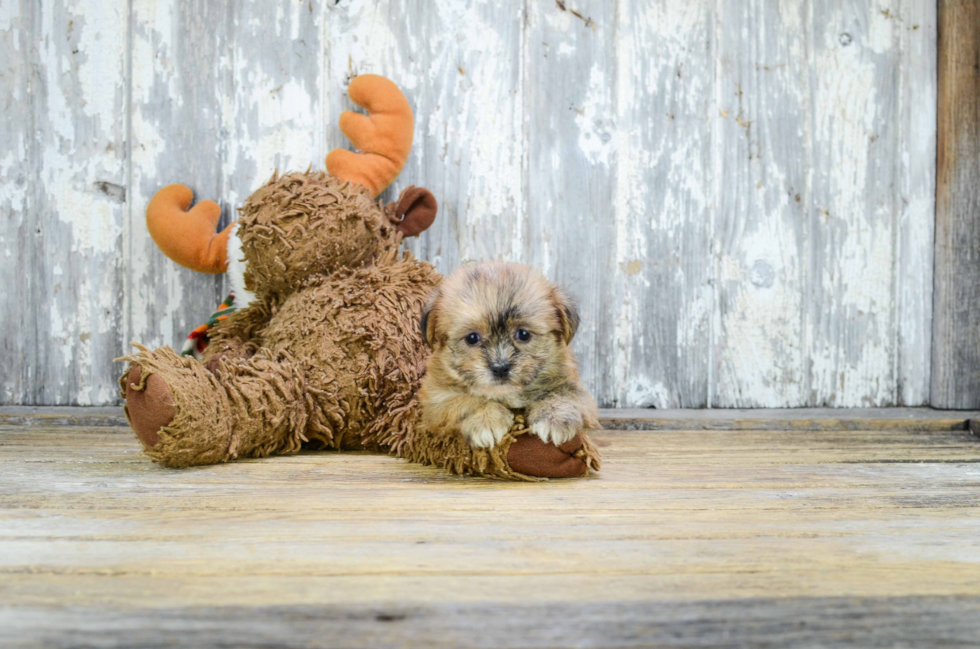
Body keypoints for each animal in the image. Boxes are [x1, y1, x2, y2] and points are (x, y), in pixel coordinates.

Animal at [416, 260, 596, 448]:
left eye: (523, 334)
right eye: (472, 338)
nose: (500, 367)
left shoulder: (577, 389)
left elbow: (563, 394)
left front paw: (554, 418)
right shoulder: (436, 399)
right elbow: (466, 400)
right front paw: (485, 420)